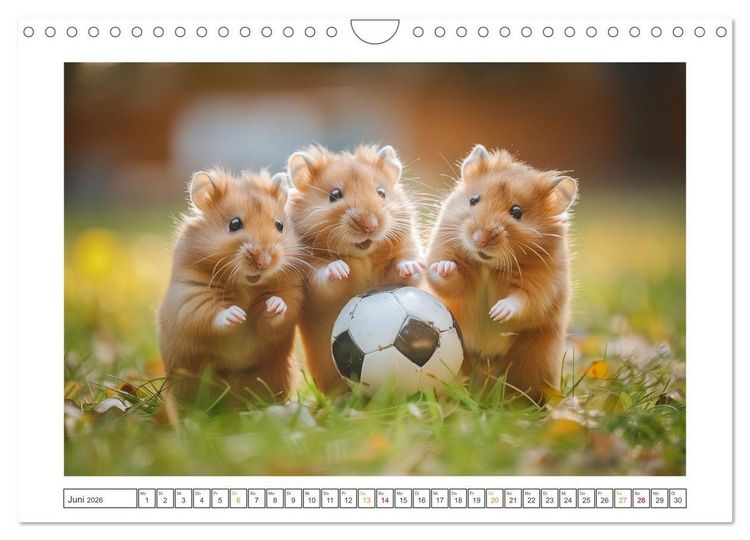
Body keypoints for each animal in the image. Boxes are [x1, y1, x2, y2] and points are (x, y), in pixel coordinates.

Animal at [158, 167, 304, 405]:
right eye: (234, 224)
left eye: (280, 225)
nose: (264, 261)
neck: (246, 284)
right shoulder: (191, 296)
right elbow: (211, 316)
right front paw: (237, 315)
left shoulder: (290, 293)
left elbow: (279, 312)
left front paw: (273, 305)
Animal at [287, 144, 424, 395]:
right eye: (334, 195)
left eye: (382, 192)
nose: (370, 225)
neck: (362, 255)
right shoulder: (312, 282)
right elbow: (325, 276)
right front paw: (340, 269)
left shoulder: (406, 251)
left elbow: (406, 268)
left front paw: (410, 267)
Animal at [425, 144, 578, 402]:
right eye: (474, 199)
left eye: (516, 212)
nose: (480, 238)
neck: (487, 265)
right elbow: (446, 278)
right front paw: (444, 268)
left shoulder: (543, 284)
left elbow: (523, 300)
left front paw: (497, 313)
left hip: (535, 358)